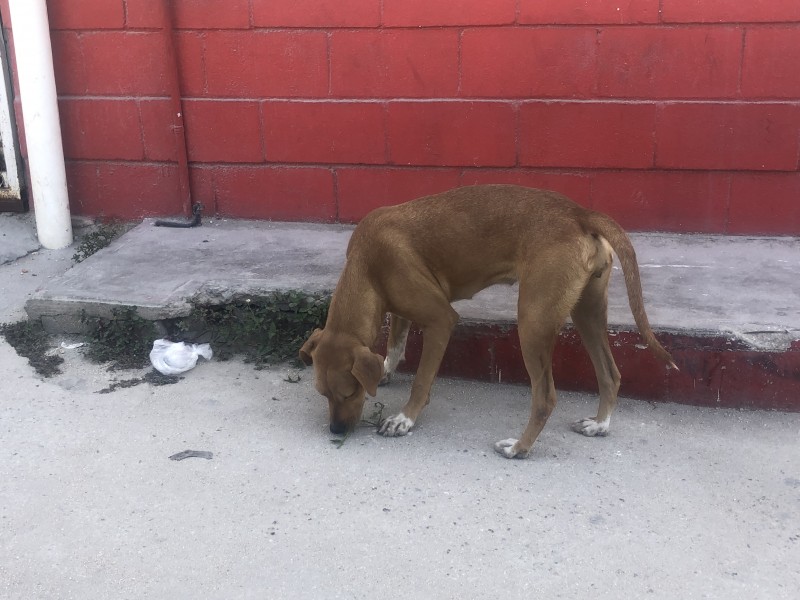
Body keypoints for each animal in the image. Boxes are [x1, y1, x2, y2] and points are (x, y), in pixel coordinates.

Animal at [300, 185, 676, 458]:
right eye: (322, 393)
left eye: (350, 392)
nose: (335, 431)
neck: (367, 264)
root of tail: (581, 214)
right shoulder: (398, 310)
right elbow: (394, 344)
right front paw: (386, 369)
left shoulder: (441, 320)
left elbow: (422, 380)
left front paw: (405, 418)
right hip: (587, 312)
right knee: (610, 375)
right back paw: (600, 425)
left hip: (533, 322)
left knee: (545, 398)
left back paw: (520, 448)